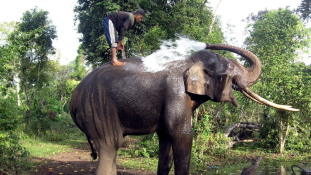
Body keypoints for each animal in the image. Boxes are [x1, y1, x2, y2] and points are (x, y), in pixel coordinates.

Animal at [69, 43, 298, 175]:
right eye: (231, 71)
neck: (191, 62)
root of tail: (73, 97)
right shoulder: (176, 91)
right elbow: (182, 134)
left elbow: (166, 139)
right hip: (97, 107)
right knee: (110, 146)